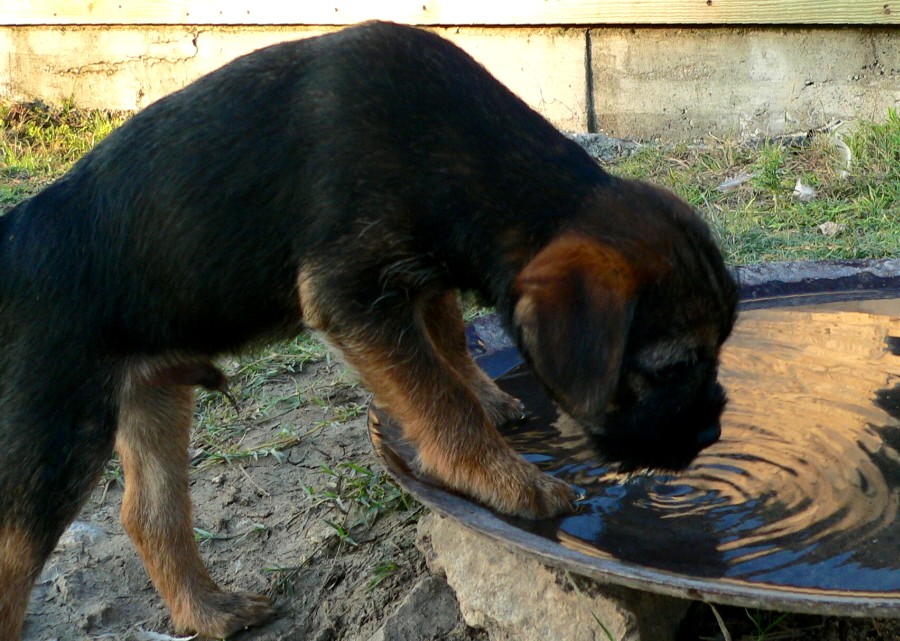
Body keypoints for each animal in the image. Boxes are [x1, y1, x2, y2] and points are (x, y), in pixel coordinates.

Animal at [0, 21, 736, 640]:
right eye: (671, 367)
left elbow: (448, 342)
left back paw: (208, 609)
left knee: (149, 513)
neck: (473, 157)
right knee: (15, 559)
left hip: (152, 391)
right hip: (54, 438)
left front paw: (488, 396)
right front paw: (502, 478)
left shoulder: (421, 274)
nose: (710, 435)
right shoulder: (353, 293)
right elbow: (437, 395)